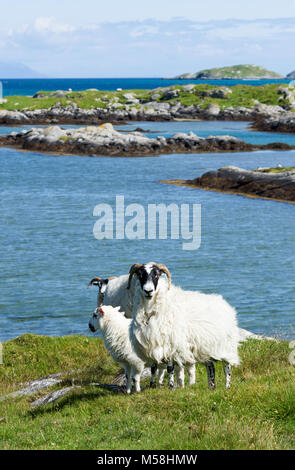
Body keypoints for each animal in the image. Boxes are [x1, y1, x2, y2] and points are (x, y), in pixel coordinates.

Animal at [128, 260, 242, 390]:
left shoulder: (171, 344)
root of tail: (226, 304)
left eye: (156, 275)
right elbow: (153, 368)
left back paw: (227, 387)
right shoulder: (152, 342)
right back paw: (211, 387)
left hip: (225, 345)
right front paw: (152, 386)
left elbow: (170, 368)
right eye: (140, 274)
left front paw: (171, 387)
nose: (148, 291)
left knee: (227, 367)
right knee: (211, 366)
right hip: (203, 347)